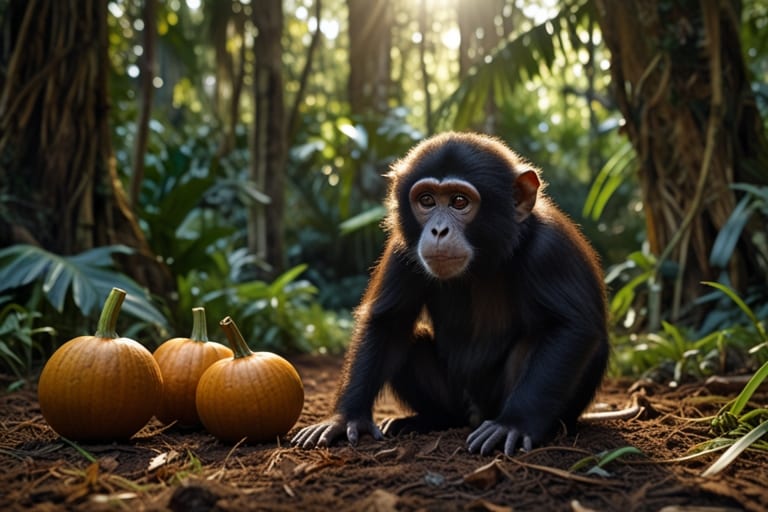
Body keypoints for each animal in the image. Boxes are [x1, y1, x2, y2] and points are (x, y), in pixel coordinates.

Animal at [291, 132, 610, 455]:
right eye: (427, 200)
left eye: (459, 201)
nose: (438, 230)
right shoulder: (401, 249)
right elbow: (388, 321)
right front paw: (346, 418)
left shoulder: (550, 248)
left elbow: (570, 328)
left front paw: (515, 424)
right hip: (456, 400)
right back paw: (428, 420)